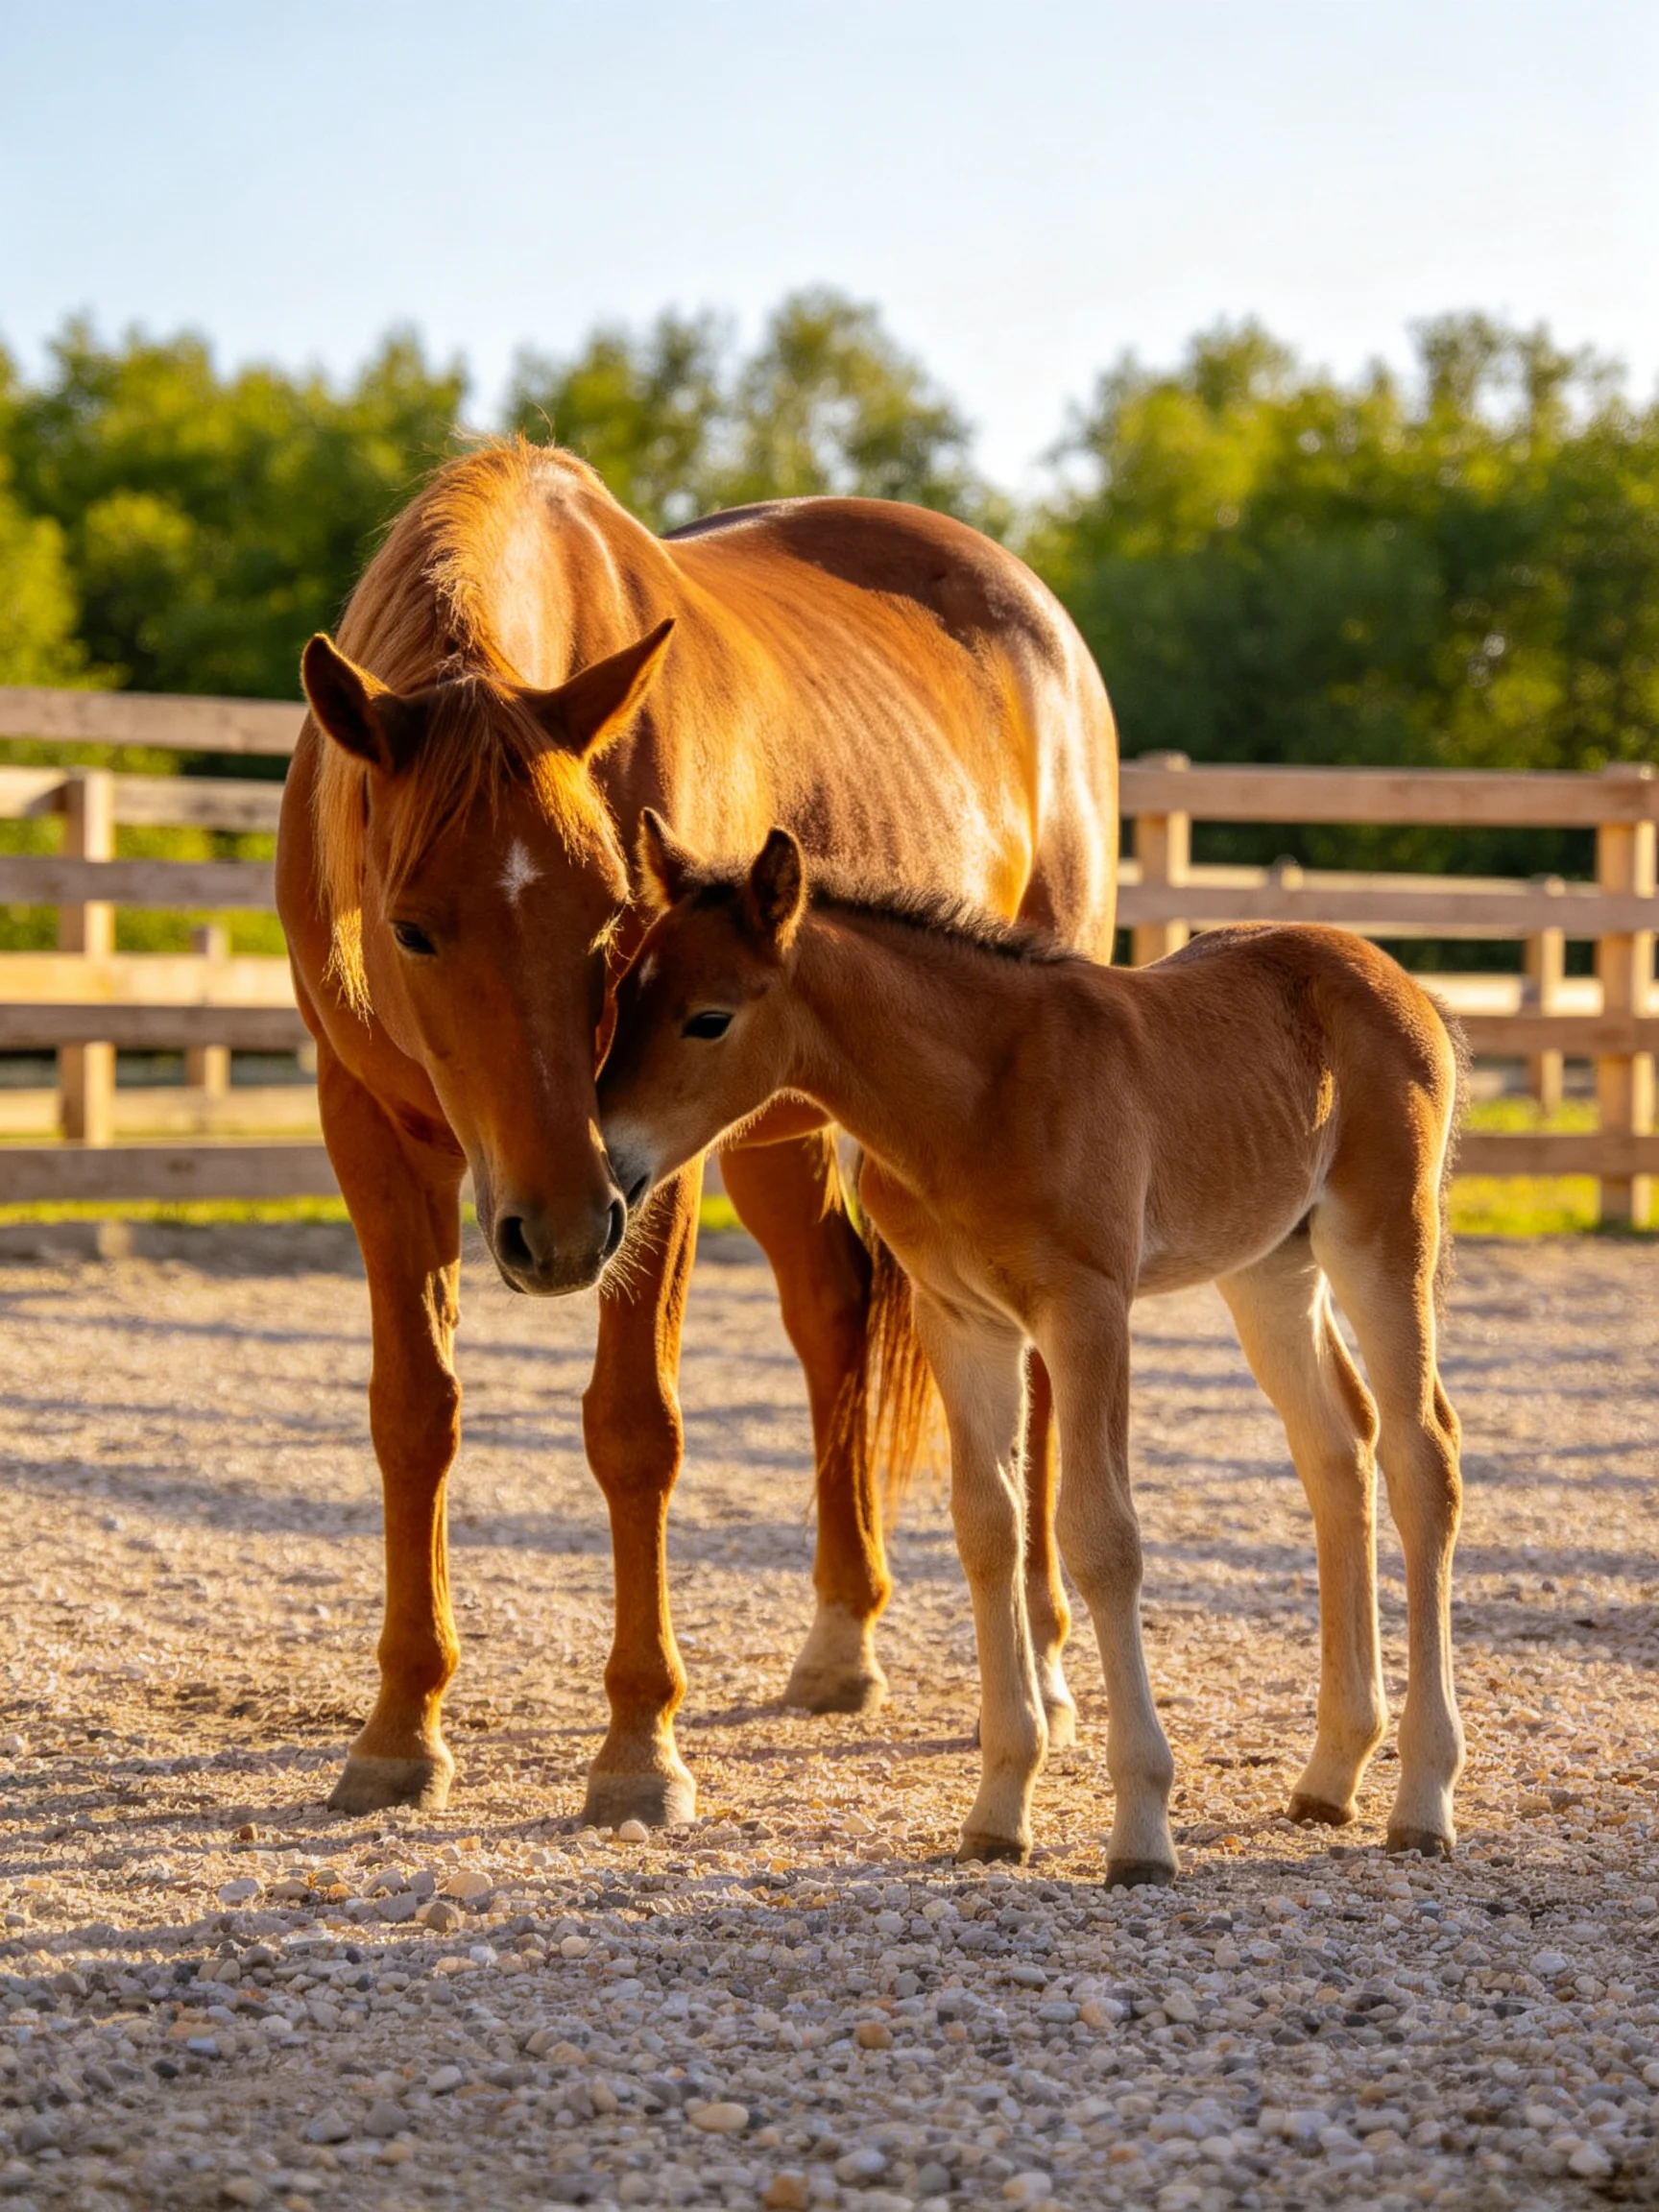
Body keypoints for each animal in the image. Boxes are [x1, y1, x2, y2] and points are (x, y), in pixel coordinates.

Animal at [273, 438, 1118, 1825]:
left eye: (612, 913)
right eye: (411, 928)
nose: (561, 1232)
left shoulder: (649, 1163)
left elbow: (635, 1430)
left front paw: (638, 1746)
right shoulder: (374, 1134)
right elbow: (414, 1416)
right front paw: (400, 1728)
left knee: (1040, 1366)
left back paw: (1043, 1658)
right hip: (779, 1129)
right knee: (834, 1312)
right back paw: (841, 1639)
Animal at [596, 816, 1468, 1881]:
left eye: (709, 1018)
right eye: (624, 994)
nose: (608, 1165)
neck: (979, 1095)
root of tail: (1398, 980)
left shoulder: (1087, 1311)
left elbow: (1100, 1537)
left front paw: (1141, 1829)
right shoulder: (962, 1321)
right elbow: (988, 1529)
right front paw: (999, 1809)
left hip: (1382, 1242)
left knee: (1422, 1456)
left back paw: (1423, 1798)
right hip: (1271, 1269)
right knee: (1338, 1452)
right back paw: (1332, 1773)